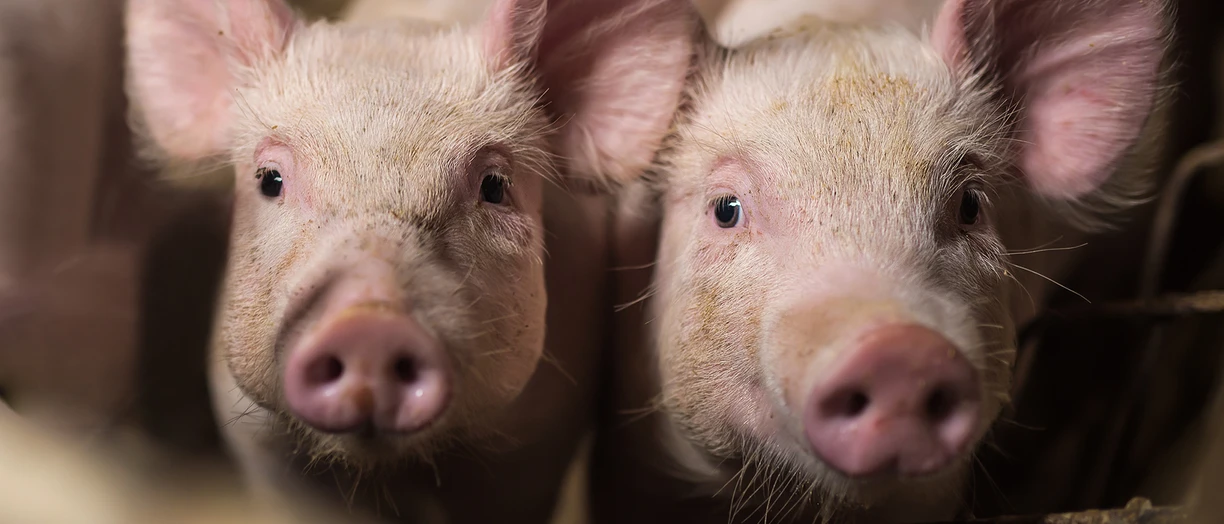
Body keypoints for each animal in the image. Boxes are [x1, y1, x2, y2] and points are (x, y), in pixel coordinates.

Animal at [124, 0, 695, 522]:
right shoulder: (263, 451)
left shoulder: (538, 448)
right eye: (269, 180)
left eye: (494, 186)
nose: (369, 325)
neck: (397, 475)